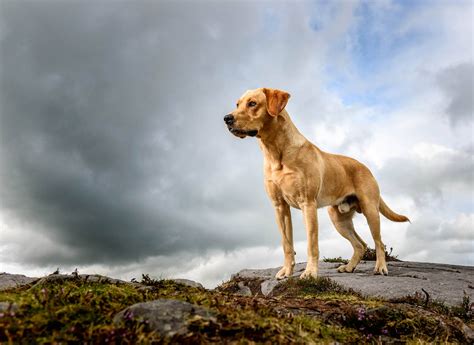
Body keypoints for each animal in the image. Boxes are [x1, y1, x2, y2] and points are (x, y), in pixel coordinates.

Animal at [224, 87, 410, 278]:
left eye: (252, 103)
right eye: (237, 104)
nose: (227, 118)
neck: (275, 152)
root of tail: (365, 167)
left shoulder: (308, 204)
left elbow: (311, 244)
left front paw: (310, 272)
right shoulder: (280, 207)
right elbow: (286, 244)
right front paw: (287, 270)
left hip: (370, 210)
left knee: (379, 242)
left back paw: (380, 267)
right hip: (338, 218)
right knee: (360, 244)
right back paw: (348, 267)